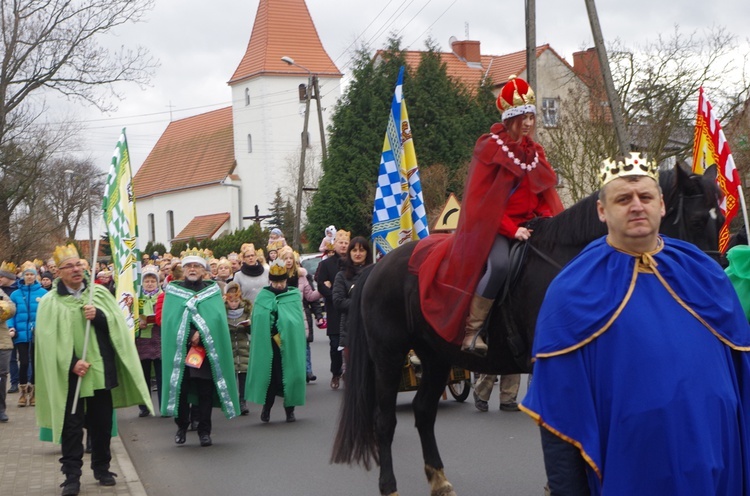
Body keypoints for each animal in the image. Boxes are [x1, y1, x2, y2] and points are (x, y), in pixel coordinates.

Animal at [332, 165, 724, 494]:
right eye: (697, 220)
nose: (716, 280)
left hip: (437, 357)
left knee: (424, 412)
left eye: (721, 220)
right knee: (384, 421)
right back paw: (390, 486)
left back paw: (440, 482)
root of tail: (377, 267)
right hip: (388, 357)